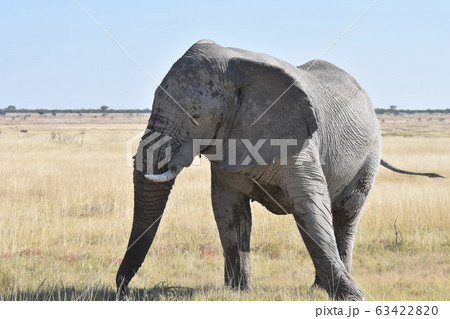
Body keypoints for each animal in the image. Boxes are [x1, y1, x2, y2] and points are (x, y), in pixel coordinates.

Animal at [115, 39, 442, 300]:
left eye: (195, 115)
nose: (122, 290)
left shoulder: (299, 141)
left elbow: (310, 206)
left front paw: (355, 298)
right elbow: (228, 210)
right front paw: (238, 293)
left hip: (370, 154)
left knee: (346, 214)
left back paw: (325, 286)